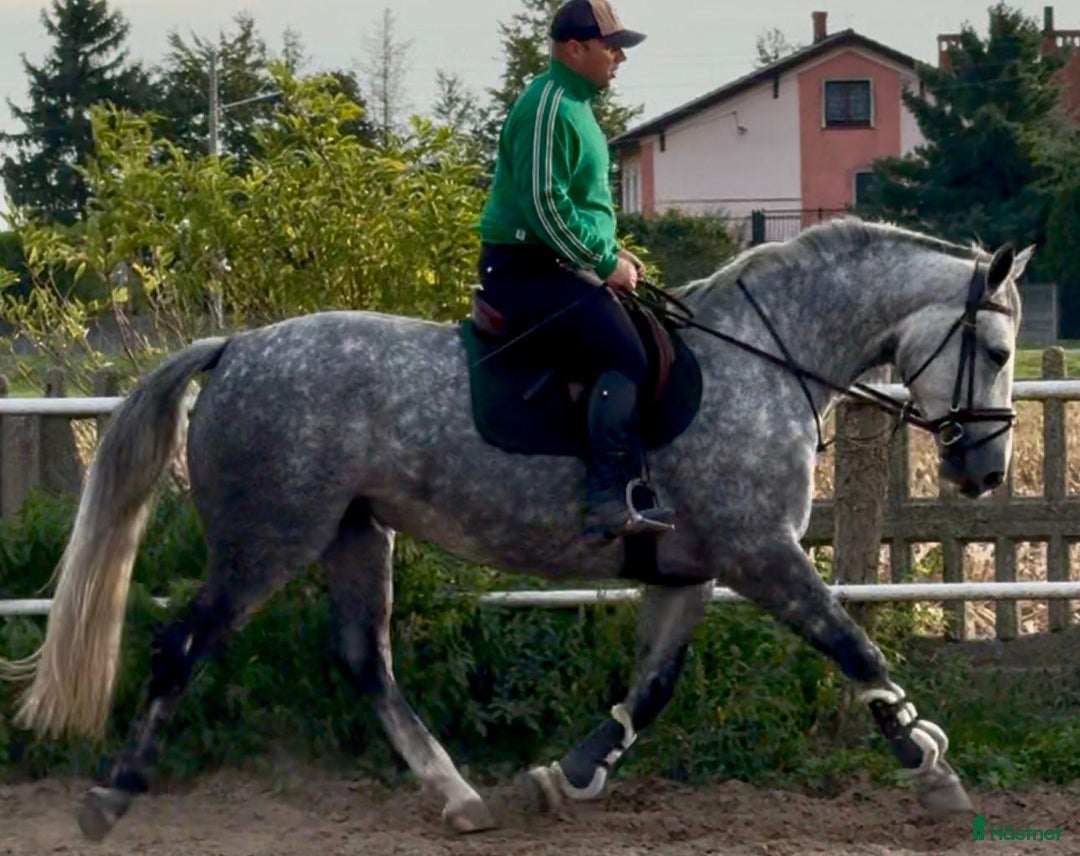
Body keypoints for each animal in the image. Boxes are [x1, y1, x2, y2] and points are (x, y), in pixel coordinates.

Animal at [0, 219, 1029, 840]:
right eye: (996, 348)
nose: (982, 473)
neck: (765, 362)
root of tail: (238, 346)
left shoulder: (689, 570)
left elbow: (651, 689)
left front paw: (565, 776)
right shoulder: (760, 554)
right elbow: (853, 646)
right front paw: (928, 763)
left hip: (354, 535)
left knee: (364, 660)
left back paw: (459, 798)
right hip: (268, 540)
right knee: (182, 645)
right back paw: (111, 797)